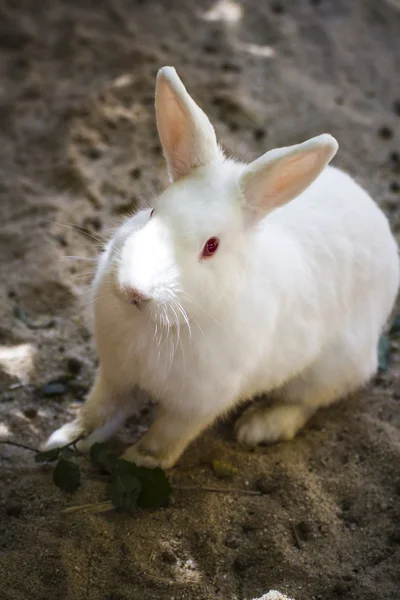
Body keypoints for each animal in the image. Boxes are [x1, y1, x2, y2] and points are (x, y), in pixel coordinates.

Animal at [45, 65, 398, 468]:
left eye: (211, 246)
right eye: (152, 212)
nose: (134, 291)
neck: (158, 323)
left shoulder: (197, 404)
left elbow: (166, 436)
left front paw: (139, 461)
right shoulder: (117, 375)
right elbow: (98, 410)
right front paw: (62, 441)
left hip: (328, 369)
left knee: (305, 403)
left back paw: (259, 426)